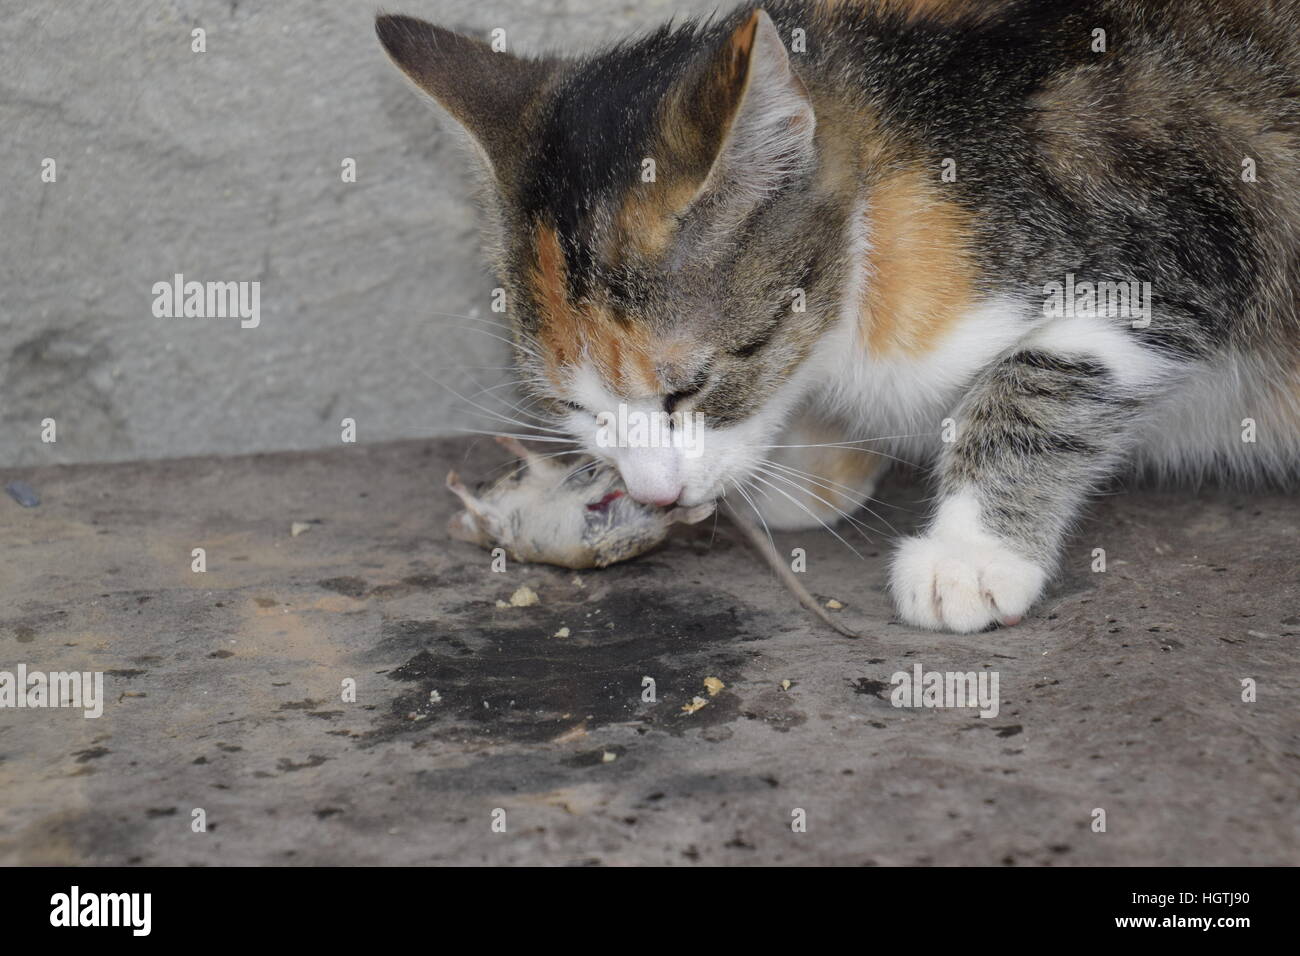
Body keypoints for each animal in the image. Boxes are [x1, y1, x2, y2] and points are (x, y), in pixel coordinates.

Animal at [377, 3, 1300, 639]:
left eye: (690, 388)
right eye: (571, 406)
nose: (655, 495)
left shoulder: (1178, 235)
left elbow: (1043, 378)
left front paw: (971, 554)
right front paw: (802, 469)